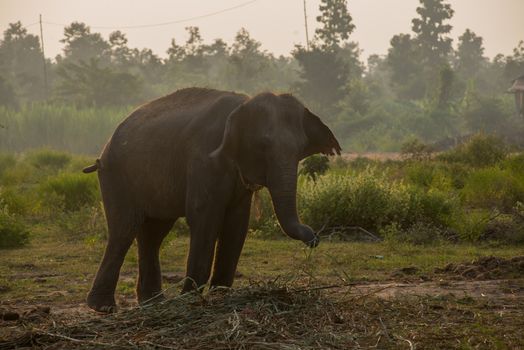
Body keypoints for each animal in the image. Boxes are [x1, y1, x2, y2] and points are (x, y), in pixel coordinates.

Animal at [84, 87, 342, 312]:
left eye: (301, 149)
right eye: (263, 145)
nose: (314, 239)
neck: (242, 105)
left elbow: (237, 224)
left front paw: (220, 296)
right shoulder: (203, 161)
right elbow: (205, 219)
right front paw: (190, 300)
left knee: (153, 233)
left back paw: (152, 302)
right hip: (116, 175)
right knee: (124, 230)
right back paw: (104, 307)